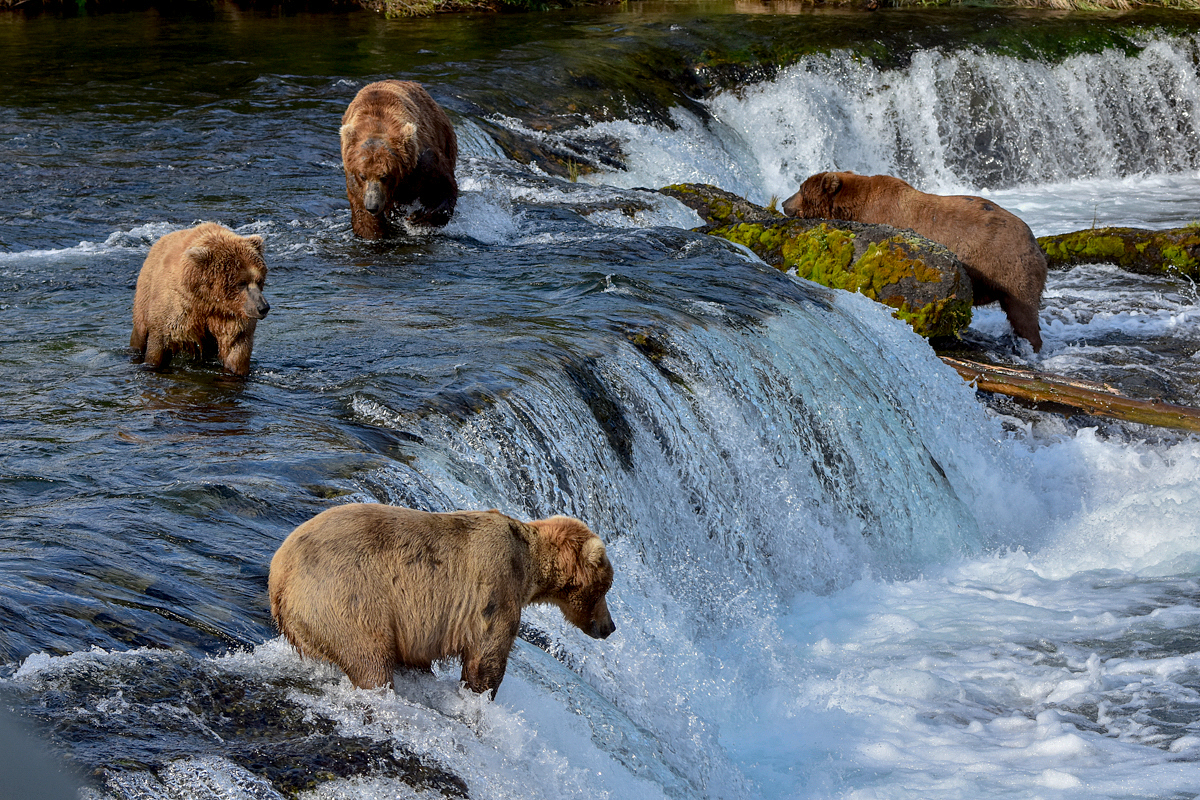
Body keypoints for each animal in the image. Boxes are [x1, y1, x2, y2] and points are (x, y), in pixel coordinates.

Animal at [131, 221, 272, 379]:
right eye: (241, 282)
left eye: (259, 280)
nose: (263, 307)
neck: (210, 302)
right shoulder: (178, 307)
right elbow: (160, 341)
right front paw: (152, 364)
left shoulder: (232, 318)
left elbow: (236, 349)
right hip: (144, 295)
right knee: (140, 332)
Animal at [266, 503, 614, 695]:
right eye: (605, 588)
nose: (609, 627)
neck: (528, 565)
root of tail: (278, 574)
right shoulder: (495, 589)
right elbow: (487, 658)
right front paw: (479, 698)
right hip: (346, 598)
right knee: (369, 658)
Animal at [343, 80, 463, 237]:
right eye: (362, 175)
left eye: (385, 176)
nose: (372, 206)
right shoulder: (355, 181)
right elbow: (364, 218)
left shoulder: (421, 162)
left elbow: (442, 186)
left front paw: (417, 218)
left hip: (444, 137)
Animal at [782, 172, 1046, 350]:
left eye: (801, 189)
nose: (784, 203)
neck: (854, 206)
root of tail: (1033, 240)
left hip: (1010, 268)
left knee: (1023, 314)